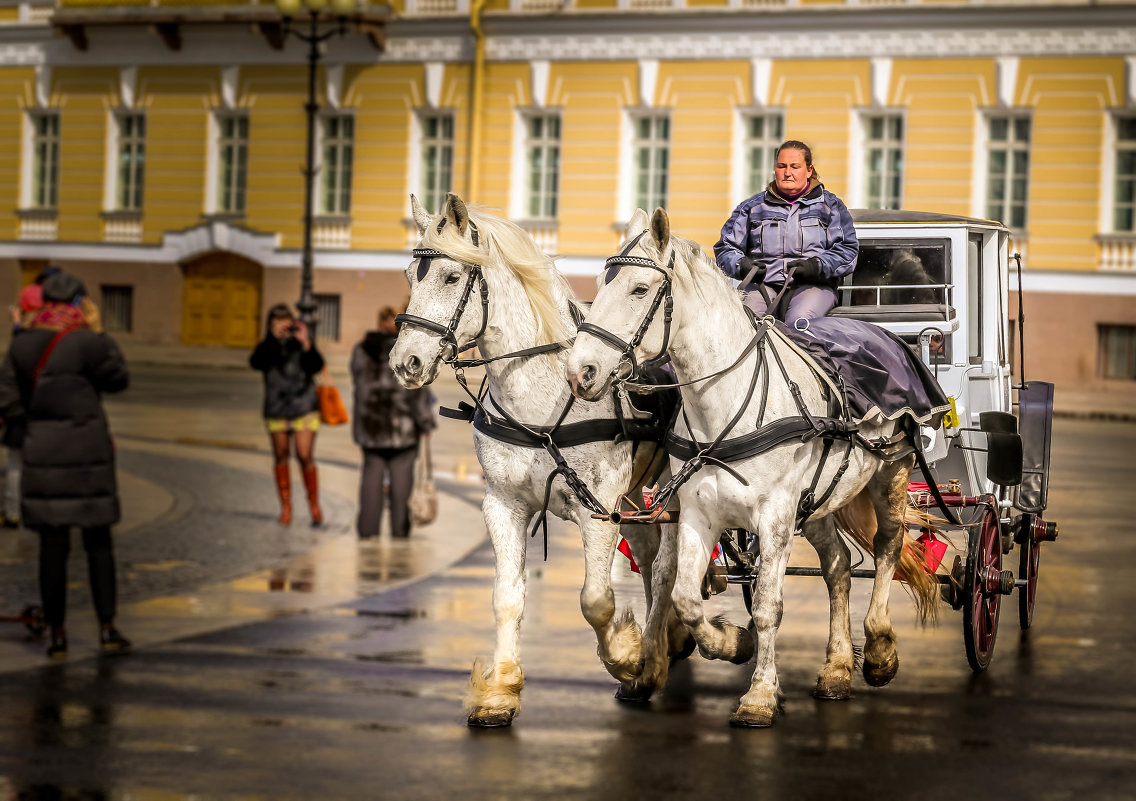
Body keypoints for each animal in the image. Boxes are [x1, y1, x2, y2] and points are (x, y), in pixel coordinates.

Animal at [390, 192, 686, 727]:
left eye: (450, 277)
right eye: (409, 276)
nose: (406, 363)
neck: (541, 399)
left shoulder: (596, 509)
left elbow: (596, 601)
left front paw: (626, 656)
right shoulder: (504, 504)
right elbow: (507, 599)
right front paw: (500, 691)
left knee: (666, 567)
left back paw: (653, 655)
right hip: (635, 499)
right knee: (650, 560)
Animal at [568, 207, 940, 727]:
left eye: (639, 289)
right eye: (602, 284)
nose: (578, 371)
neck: (722, 405)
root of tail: (886, 335)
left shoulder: (776, 516)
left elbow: (768, 605)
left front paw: (760, 695)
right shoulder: (699, 513)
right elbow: (686, 597)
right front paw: (733, 643)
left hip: (893, 472)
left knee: (888, 547)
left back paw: (880, 649)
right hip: (818, 503)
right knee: (839, 568)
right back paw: (837, 667)